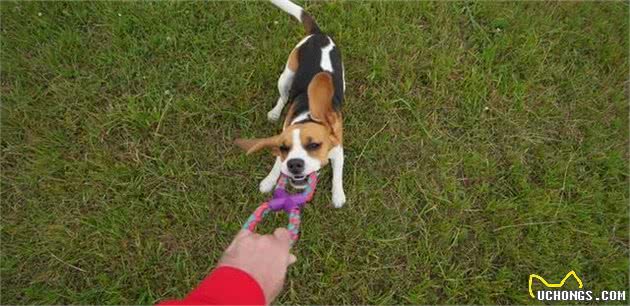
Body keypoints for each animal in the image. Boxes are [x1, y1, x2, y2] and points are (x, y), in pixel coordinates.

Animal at [237, 0, 348, 208]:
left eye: (314, 145)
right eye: (284, 148)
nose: (294, 164)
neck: (308, 116)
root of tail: (318, 34)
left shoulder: (338, 149)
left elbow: (338, 174)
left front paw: (338, 195)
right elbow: (276, 165)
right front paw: (269, 181)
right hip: (286, 76)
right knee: (282, 97)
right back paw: (274, 113)